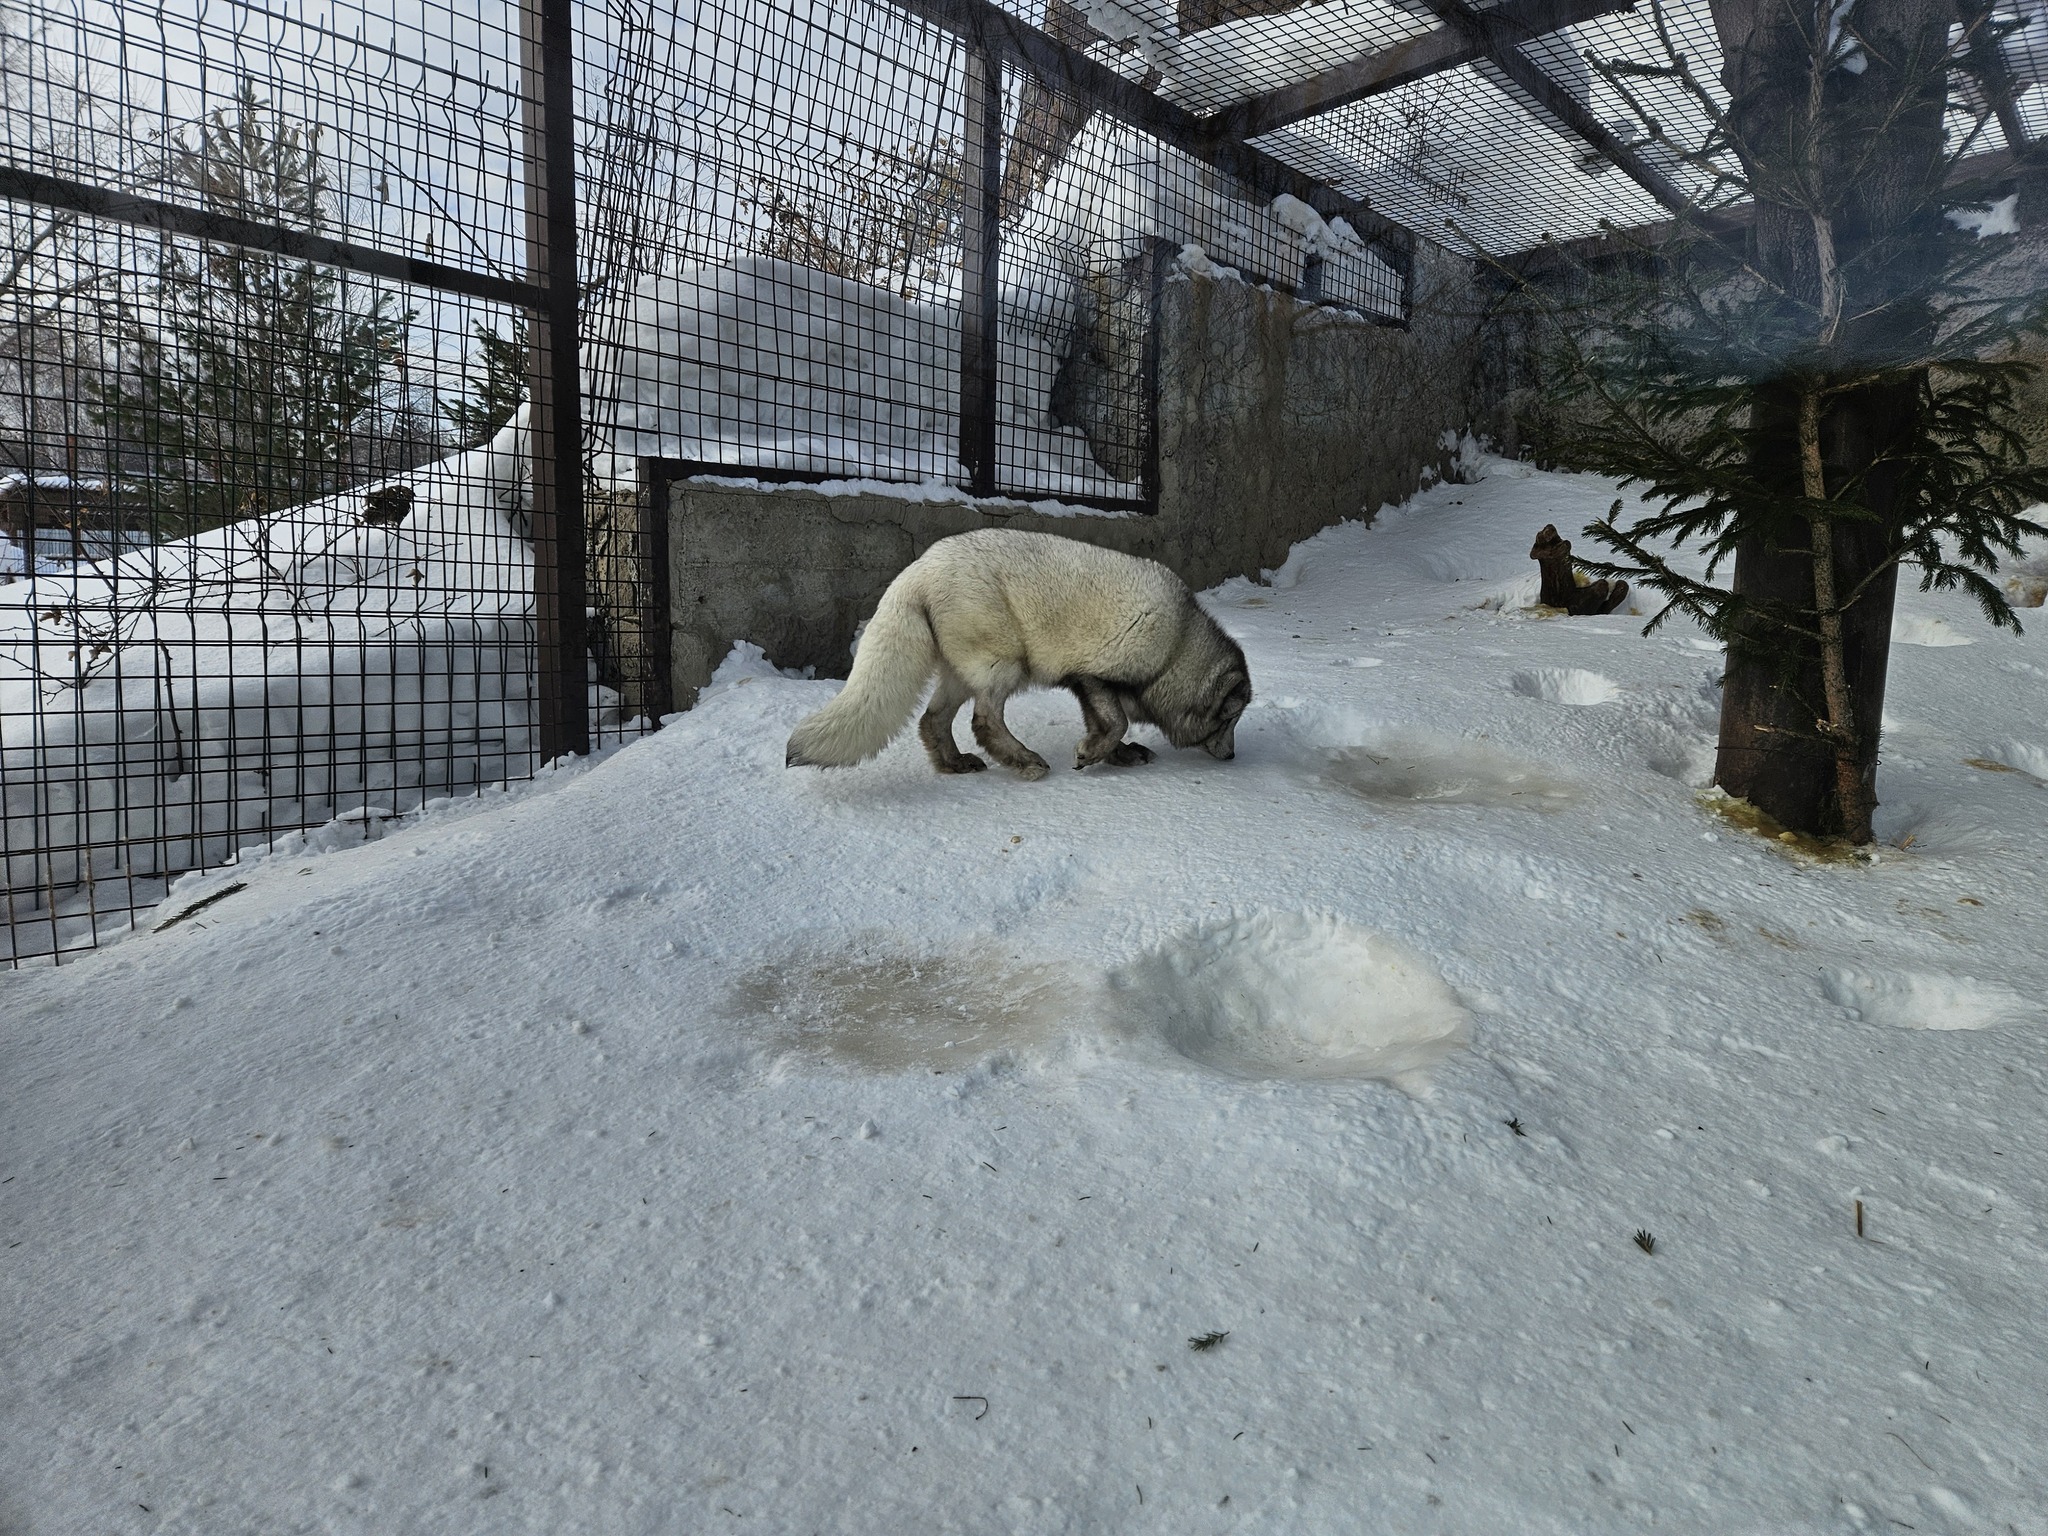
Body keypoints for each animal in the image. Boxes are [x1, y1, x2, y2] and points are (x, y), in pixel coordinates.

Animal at [786, 536, 1245, 786]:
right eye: (1229, 720)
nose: (1232, 757)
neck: (1178, 645)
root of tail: (917, 569)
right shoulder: (1094, 675)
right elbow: (1116, 723)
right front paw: (1093, 754)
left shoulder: (1087, 684)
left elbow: (1105, 725)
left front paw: (1112, 756)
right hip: (1002, 663)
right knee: (983, 720)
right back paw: (1024, 760)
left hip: (960, 671)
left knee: (932, 720)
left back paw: (955, 764)